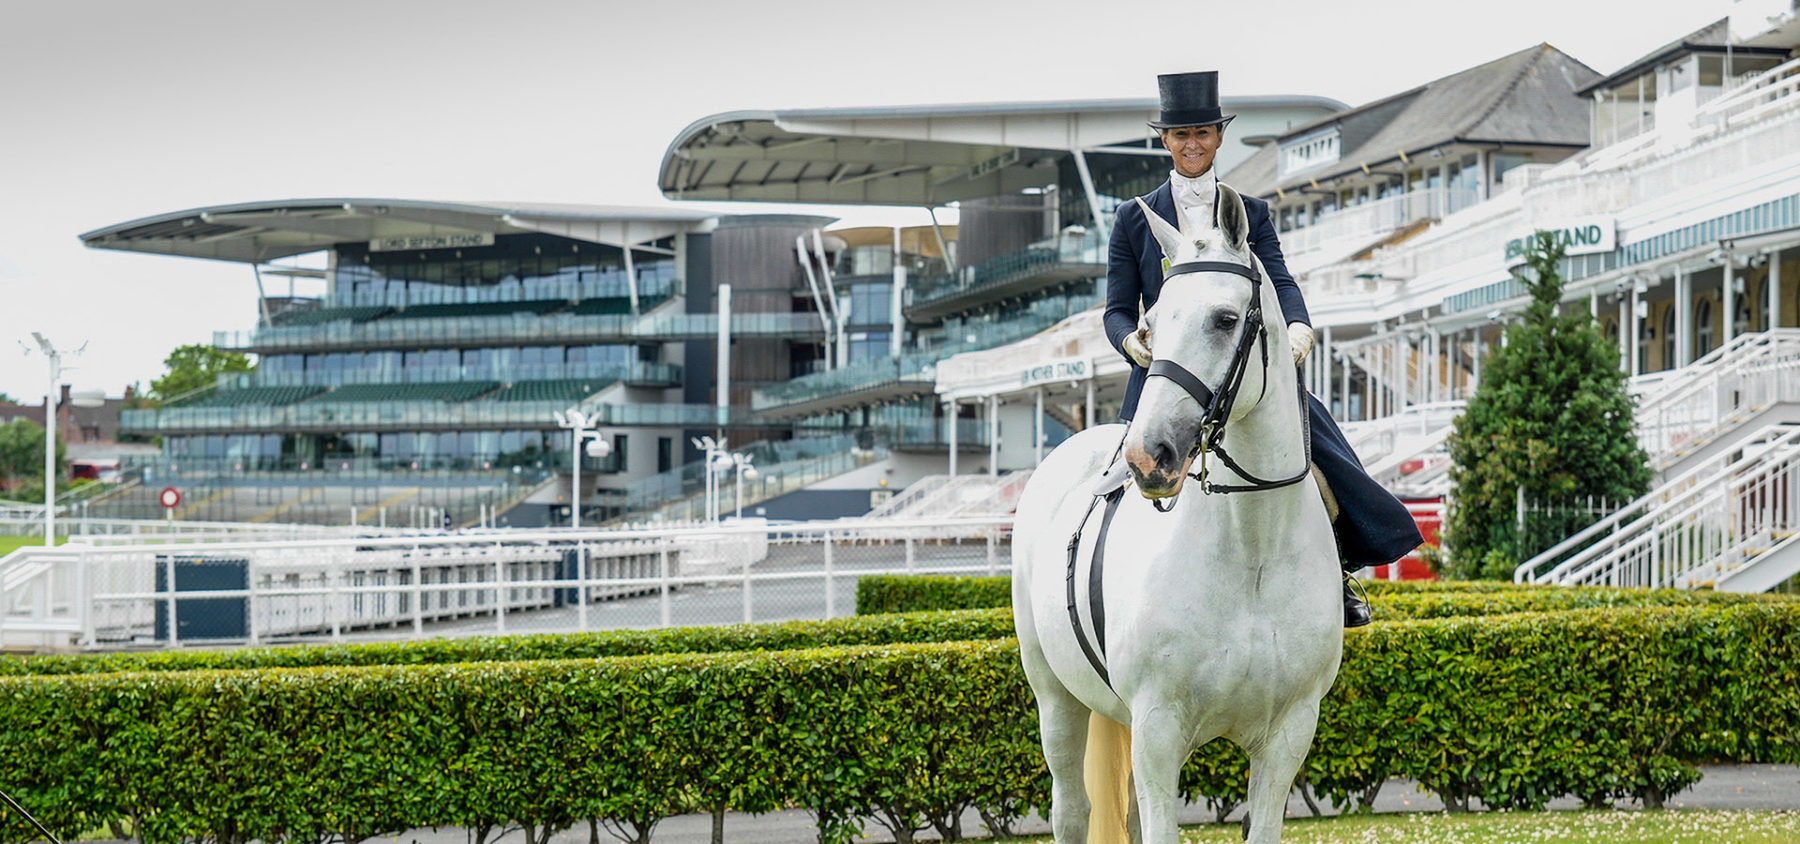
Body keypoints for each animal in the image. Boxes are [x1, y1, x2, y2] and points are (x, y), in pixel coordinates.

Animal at [1015, 186, 1339, 842]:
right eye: (1152, 323)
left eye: (1224, 319)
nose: (1149, 456)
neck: (1252, 554)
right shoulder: (1158, 729)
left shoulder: (1289, 735)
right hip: (1056, 698)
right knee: (1072, 808)